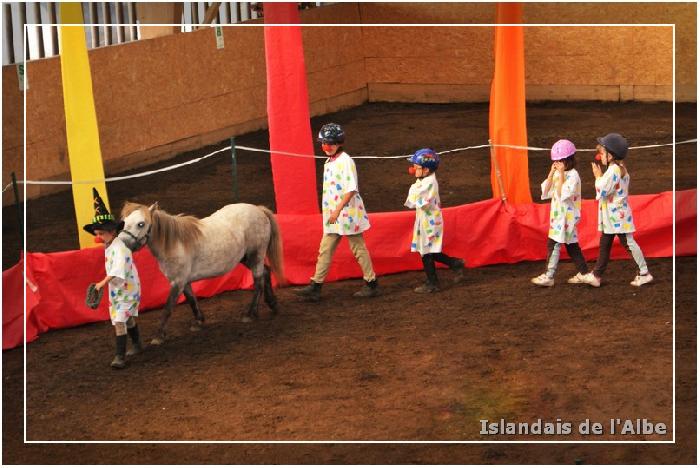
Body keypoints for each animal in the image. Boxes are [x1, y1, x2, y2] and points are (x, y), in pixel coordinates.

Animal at [118, 203, 284, 346]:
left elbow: (167, 308)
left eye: (141, 224)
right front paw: (198, 321)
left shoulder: (177, 282)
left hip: (256, 255)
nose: (123, 243)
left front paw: (158, 336)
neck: (174, 243)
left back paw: (250, 314)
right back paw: (272, 304)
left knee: (258, 282)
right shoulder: (184, 281)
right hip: (246, 258)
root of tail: (259, 209)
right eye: (124, 222)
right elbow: (191, 299)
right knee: (266, 272)